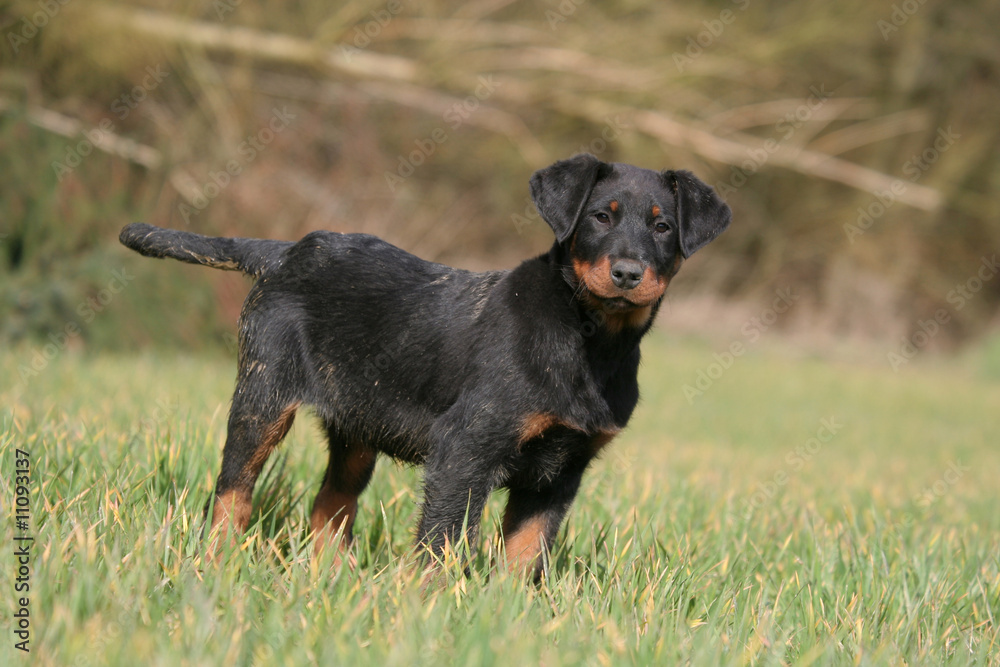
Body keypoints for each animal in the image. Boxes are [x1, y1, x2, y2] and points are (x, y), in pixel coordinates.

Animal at [119, 153, 736, 580]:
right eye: (600, 218)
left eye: (662, 227)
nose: (628, 273)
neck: (590, 339)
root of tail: (283, 253)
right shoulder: (465, 449)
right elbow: (441, 543)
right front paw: (430, 609)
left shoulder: (562, 471)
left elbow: (525, 554)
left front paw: (508, 619)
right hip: (262, 396)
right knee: (232, 490)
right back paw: (216, 564)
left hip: (357, 422)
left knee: (330, 505)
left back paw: (330, 583)